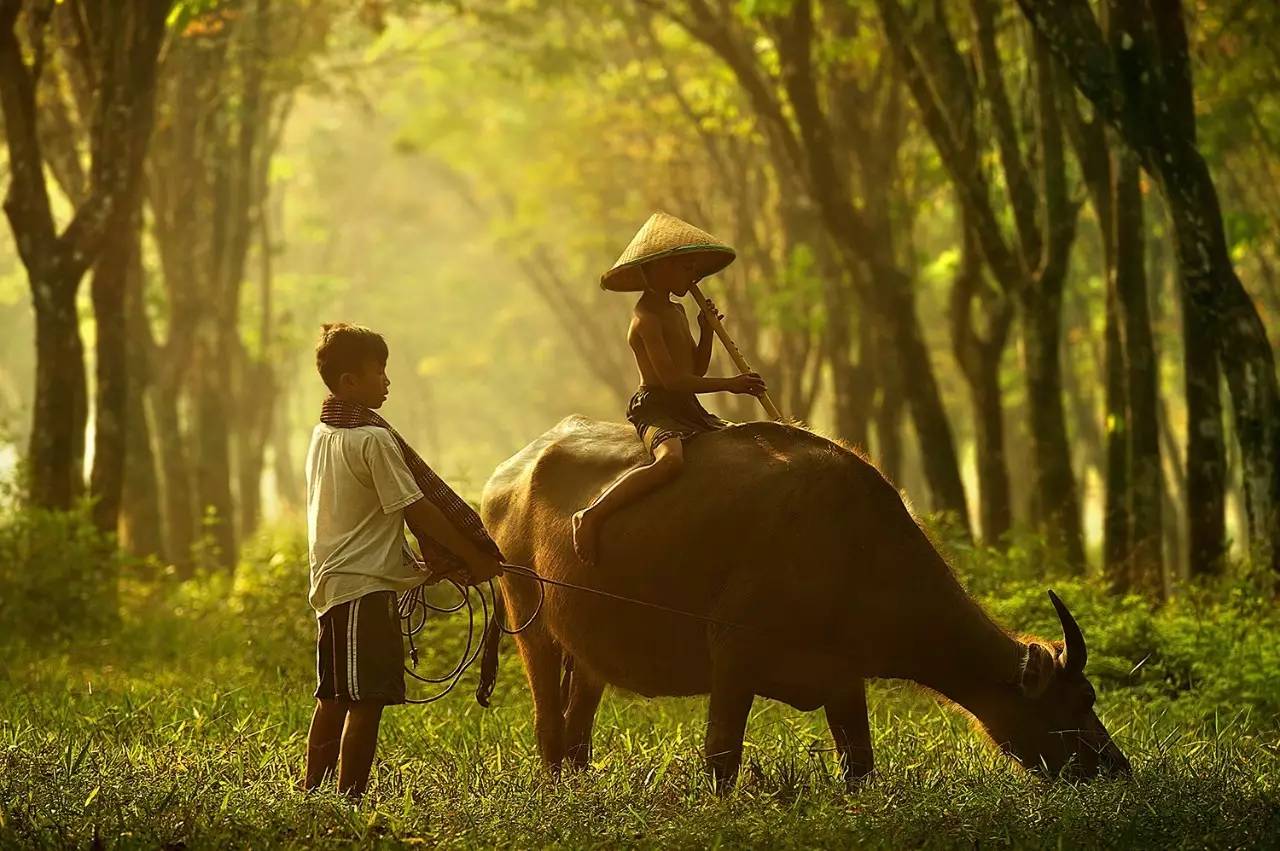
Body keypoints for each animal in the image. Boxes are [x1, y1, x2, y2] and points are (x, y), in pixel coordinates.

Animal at [481, 414, 1131, 788]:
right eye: (1080, 700)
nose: (1116, 768)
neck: (855, 549)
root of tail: (507, 473)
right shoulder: (733, 655)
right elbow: (721, 758)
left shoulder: (841, 677)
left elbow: (860, 764)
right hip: (527, 613)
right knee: (547, 718)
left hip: (586, 645)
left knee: (578, 725)